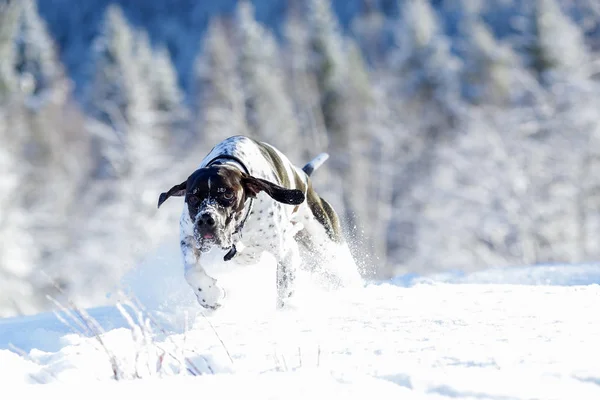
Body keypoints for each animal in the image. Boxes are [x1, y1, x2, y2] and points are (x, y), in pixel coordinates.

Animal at [157, 136, 360, 310]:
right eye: (192, 198)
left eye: (227, 195)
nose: (206, 220)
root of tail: (303, 176)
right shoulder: (188, 237)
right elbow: (191, 271)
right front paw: (210, 296)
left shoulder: (286, 253)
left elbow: (284, 294)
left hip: (326, 244)